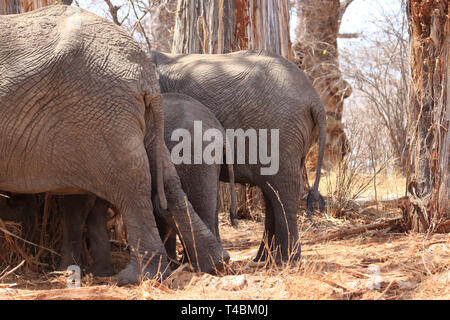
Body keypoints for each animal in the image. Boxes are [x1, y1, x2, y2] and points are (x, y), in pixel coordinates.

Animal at [0, 5, 225, 284]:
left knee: (132, 185)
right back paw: (215, 264)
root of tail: (144, 73)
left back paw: (138, 277)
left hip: (104, 115)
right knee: (167, 180)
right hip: (130, 119)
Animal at [151, 48, 326, 262]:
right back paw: (263, 259)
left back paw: (285, 260)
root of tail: (315, 99)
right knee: (271, 191)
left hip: (279, 130)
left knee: (282, 189)